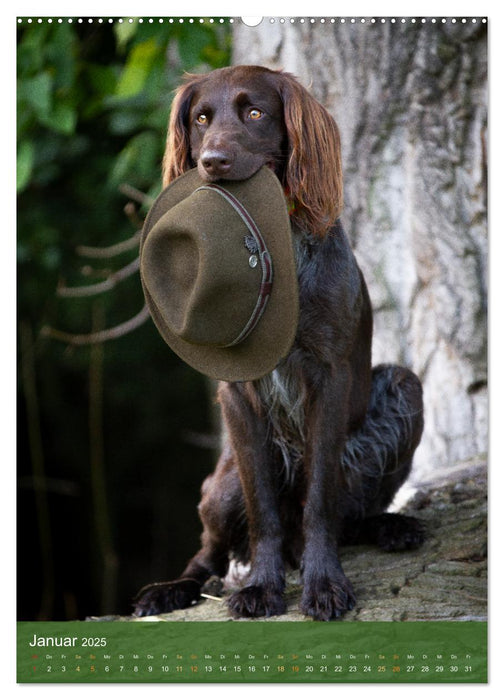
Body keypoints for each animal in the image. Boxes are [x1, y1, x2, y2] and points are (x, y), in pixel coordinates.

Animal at [132, 65, 424, 620]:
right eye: (201, 119)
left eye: (254, 112)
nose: (212, 161)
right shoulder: (237, 396)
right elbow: (262, 509)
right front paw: (262, 588)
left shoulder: (329, 379)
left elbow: (321, 501)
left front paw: (325, 584)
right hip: (221, 487)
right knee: (208, 552)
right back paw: (170, 589)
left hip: (403, 387)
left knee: (351, 514)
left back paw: (391, 526)